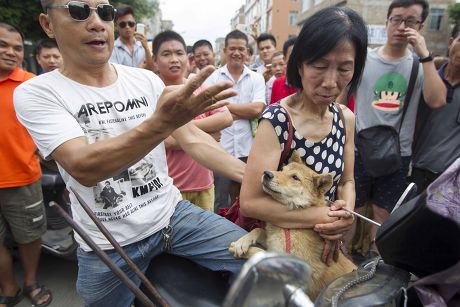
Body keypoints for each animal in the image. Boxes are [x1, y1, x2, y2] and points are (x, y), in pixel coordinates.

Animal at [229, 151, 356, 300]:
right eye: (282, 169)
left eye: (295, 177)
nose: (267, 173)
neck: (290, 227)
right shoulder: (273, 242)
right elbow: (258, 229)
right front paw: (242, 243)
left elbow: (261, 254)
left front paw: (247, 250)